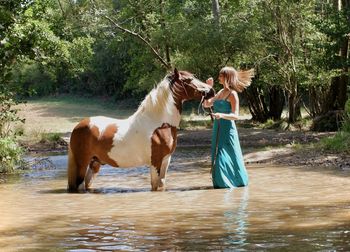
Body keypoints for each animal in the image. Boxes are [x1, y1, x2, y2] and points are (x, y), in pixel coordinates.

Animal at [65, 68, 213, 192]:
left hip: (94, 163)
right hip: (82, 163)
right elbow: (155, 187)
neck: (159, 124)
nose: (211, 90)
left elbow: (161, 185)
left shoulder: (166, 160)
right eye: (188, 80)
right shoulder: (155, 162)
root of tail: (78, 126)